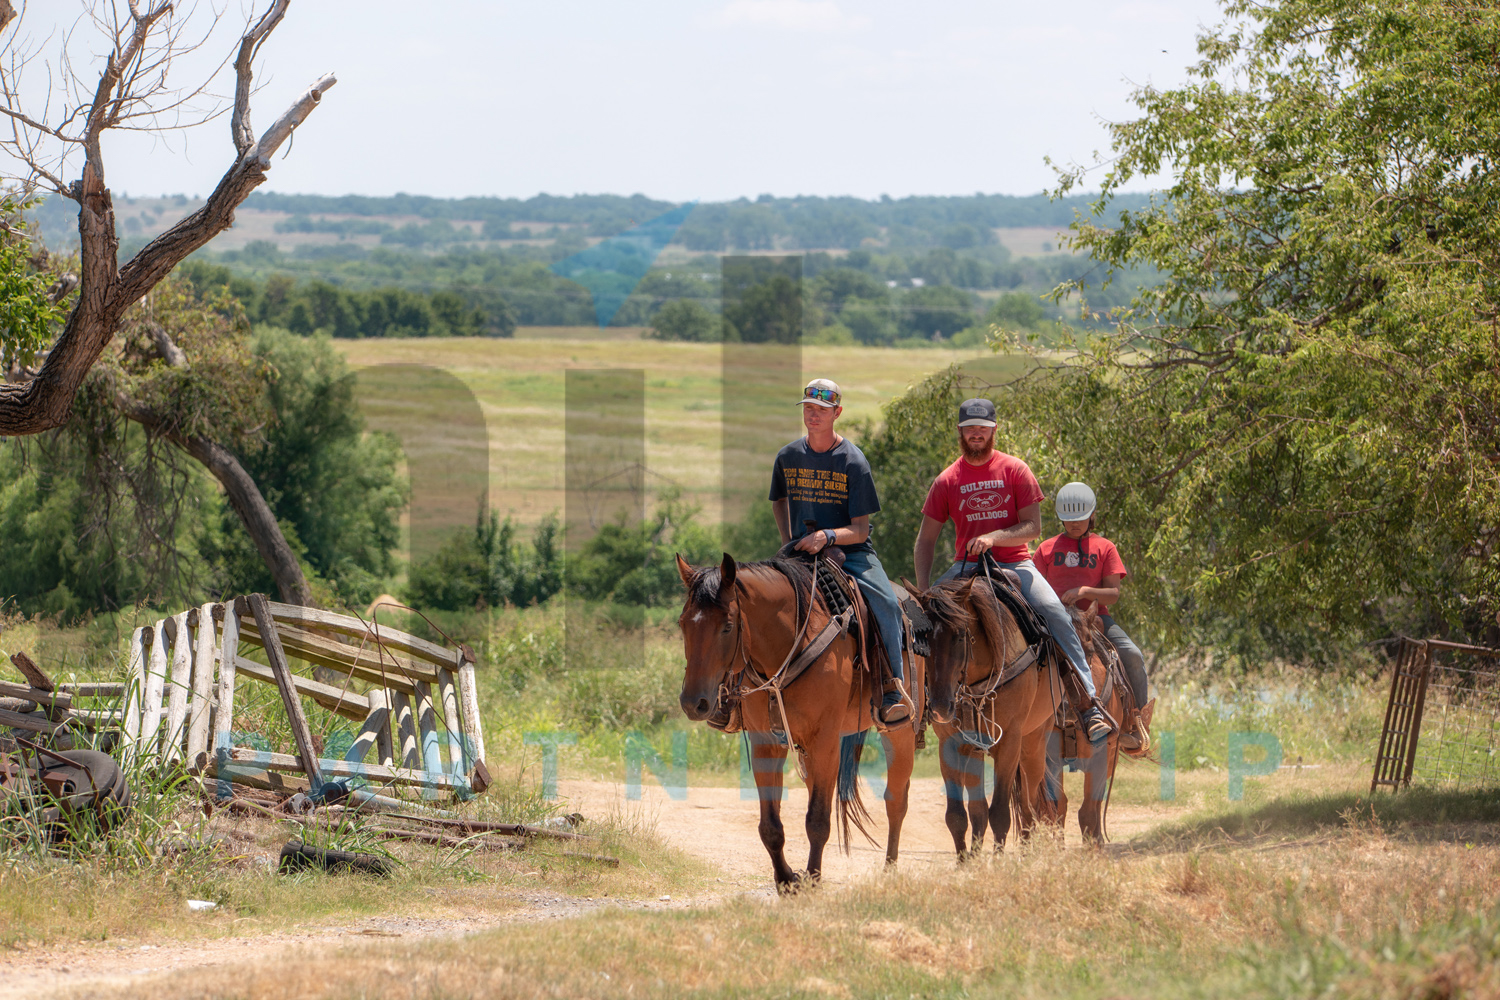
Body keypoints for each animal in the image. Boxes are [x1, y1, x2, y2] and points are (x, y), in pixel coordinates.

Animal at [678, 554, 912, 893]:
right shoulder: (766, 743)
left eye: (727, 626)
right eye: (683, 624)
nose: (692, 702)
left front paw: (812, 879)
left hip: (900, 732)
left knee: (896, 800)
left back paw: (890, 869)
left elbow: (817, 820)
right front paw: (787, 880)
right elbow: (770, 826)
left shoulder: (825, 742)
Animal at [918, 578, 1062, 863]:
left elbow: (1000, 812)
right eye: (924, 637)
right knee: (980, 809)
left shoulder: (1009, 744)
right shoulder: (950, 745)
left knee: (1029, 805)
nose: (939, 707)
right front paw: (965, 862)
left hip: (1033, 745)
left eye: (960, 636)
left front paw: (997, 862)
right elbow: (958, 814)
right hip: (976, 750)